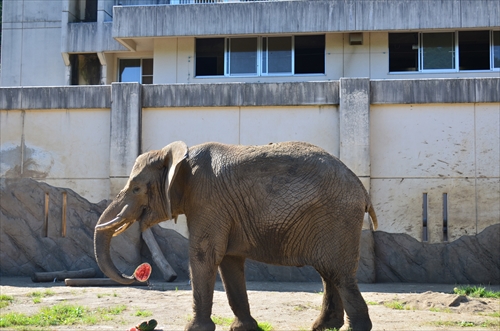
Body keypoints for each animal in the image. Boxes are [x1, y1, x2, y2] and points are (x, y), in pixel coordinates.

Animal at [94, 141, 376, 331]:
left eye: (136, 188)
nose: (135, 274)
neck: (179, 155)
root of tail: (361, 188)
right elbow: (228, 260)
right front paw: (243, 328)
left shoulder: (207, 199)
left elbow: (204, 255)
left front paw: (194, 329)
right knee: (329, 272)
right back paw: (324, 327)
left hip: (336, 217)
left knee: (337, 272)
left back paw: (355, 328)